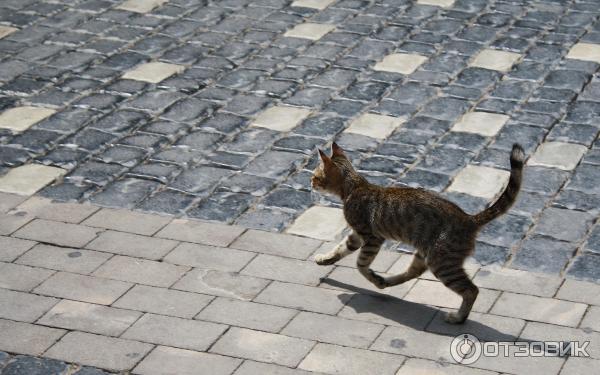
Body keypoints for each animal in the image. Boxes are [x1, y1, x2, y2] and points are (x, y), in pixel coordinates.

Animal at [312, 142, 524, 324]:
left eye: (315, 176)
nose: (310, 182)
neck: (354, 186)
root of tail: (469, 218)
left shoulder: (371, 237)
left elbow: (361, 264)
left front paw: (369, 275)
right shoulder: (356, 235)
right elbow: (340, 249)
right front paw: (325, 259)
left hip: (442, 262)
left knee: (472, 290)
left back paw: (458, 317)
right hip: (426, 254)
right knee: (413, 272)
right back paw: (386, 281)